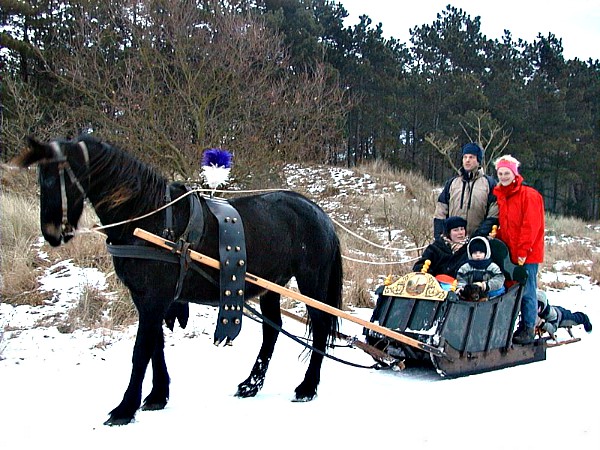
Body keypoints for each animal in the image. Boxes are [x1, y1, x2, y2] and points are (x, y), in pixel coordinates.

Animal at [14, 134, 342, 426]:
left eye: (55, 178)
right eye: (40, 178)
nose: (52, 233)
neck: (149, 219)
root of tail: (319, 213)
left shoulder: (152, 299)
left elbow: (141, 351)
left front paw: (125, 409)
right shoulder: (149, 299)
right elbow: (156, 345)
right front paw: (157, 396)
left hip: (312, 281)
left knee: (320, 327)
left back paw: (307, 387)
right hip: (270, 285)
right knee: (272, 330)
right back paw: (252, 384)